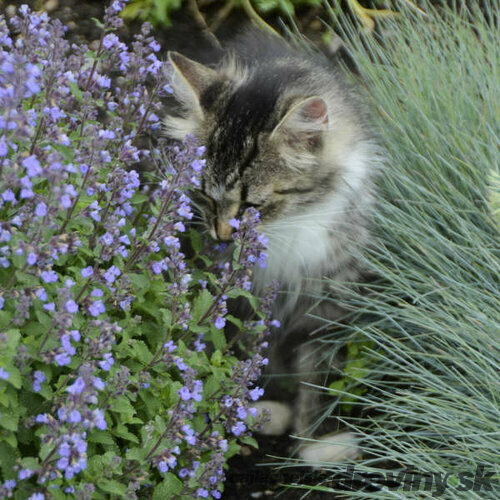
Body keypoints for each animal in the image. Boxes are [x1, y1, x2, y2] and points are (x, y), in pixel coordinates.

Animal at [164, 30, 378, 460]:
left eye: (251, 207)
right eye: (205, 196)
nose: (223, 236)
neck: (292, 226)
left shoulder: (326, 299)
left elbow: (316, 374)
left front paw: (316, 442)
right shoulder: (242, 300)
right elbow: (246, 352)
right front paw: (255, 406)